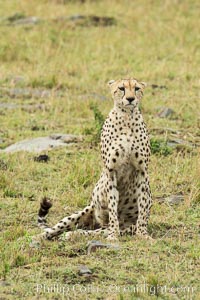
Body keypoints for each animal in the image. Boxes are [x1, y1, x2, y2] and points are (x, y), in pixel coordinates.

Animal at [36, 78, 152, 241]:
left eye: (136, 88)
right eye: (121, 88)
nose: (130, 99)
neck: (127, 118)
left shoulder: (141, 172)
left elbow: (142, 207)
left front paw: (142, 234)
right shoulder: (111, 172)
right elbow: (113, 207)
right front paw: (113, 235)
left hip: (116, 227)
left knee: (90, 232)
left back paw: (71, 235)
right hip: (81, 213)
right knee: (55, 228)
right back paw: (40, 237)